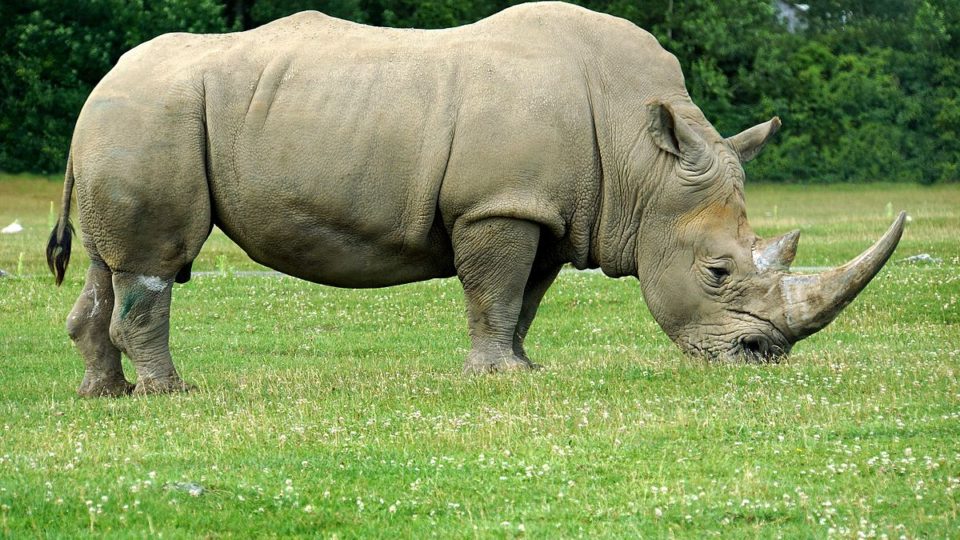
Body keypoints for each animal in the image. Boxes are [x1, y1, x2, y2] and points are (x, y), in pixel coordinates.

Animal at [47, 2, 905, 396]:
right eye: (719, 273)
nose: (762, 357)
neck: (644, 163)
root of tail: (97, 87)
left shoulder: (550, 211)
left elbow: (523, 297)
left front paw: (523, 367)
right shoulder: (499, 202)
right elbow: (492, 291)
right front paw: (497, 377)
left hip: (129, 122)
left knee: (106, 264)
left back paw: (105, 396)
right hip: (152, 116)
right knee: (154, 262)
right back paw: (171, 395)